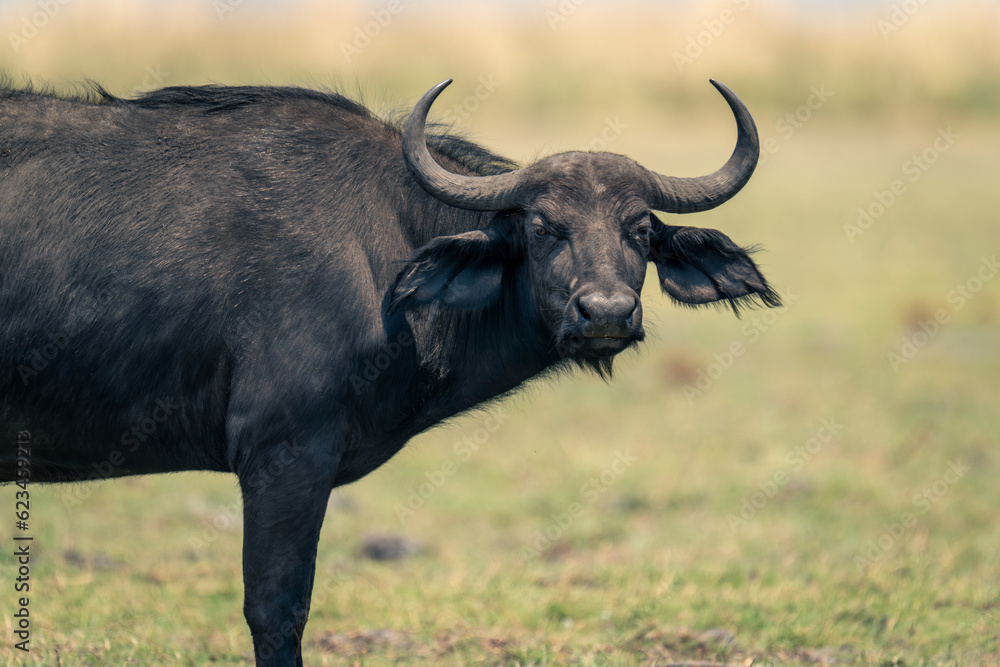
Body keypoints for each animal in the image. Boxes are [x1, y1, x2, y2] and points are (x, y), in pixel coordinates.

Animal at [0, 75, 776, 664]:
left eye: (639, 228)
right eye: (541, 226)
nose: (607, 312)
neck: (384, 253)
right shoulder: (285, 454)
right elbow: (277, 610)